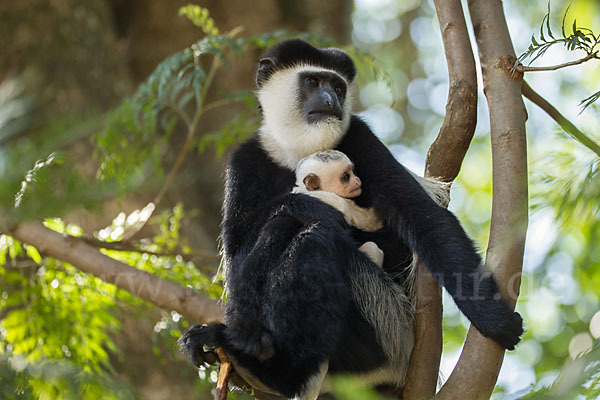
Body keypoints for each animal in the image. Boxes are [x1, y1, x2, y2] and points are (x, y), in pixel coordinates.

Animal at [180, 39, 524, 400]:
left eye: (338, 87)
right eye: (313, 82)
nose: (330, 100)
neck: (296, 152)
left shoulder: (361, 137)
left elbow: (422, 216)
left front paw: (493, 317)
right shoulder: (245, 161)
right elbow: (236, 258)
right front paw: (303, 203)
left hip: (385, 327)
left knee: (314, 240)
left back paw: (275, 374)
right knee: (280, 231)